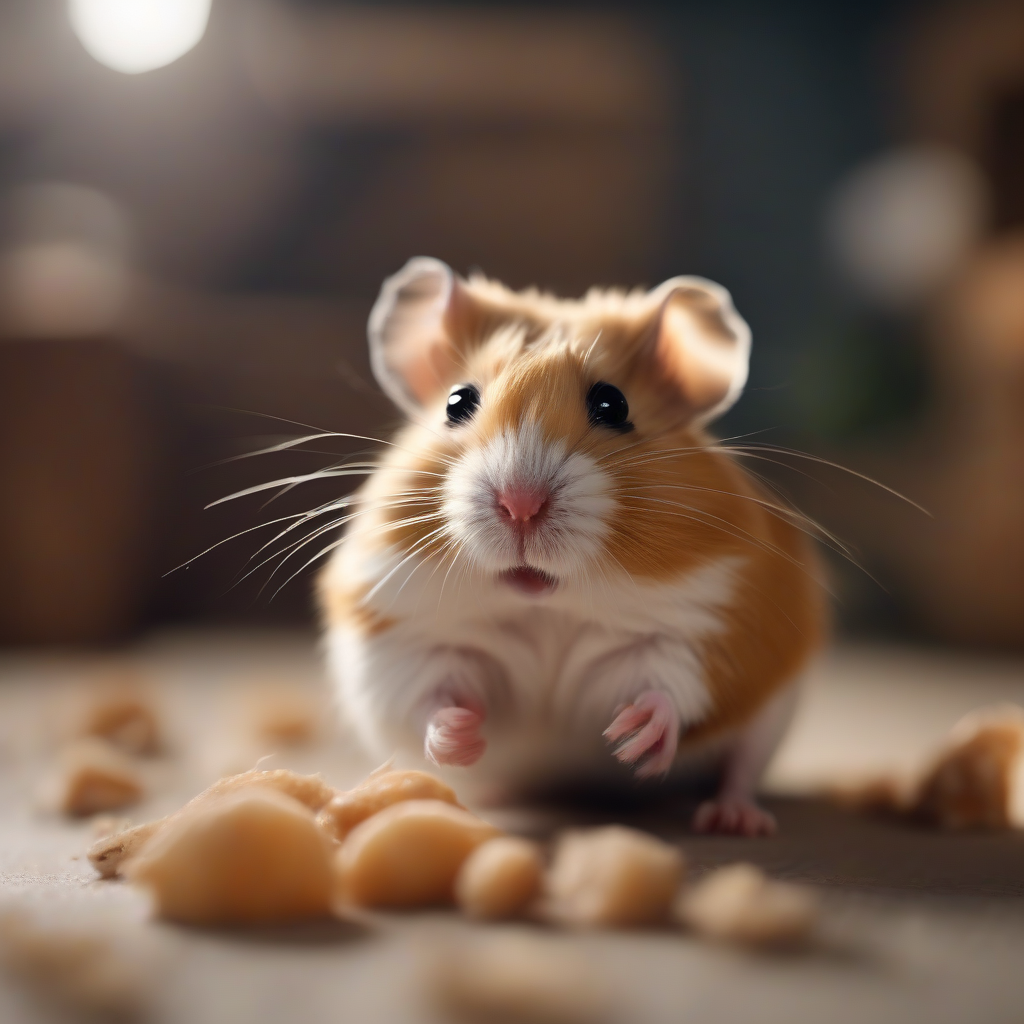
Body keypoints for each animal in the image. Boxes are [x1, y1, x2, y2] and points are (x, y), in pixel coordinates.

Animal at [320, 257, 826, 836]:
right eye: (456, 401)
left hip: (771, 715)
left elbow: (671, 683)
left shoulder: (713, 622)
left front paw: (630, 737)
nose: (520, 504)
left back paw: (735, 818)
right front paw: (461, 734)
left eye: (613, 403)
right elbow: (425, 692)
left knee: (742, 764)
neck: (546, 606)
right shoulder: (403, 634)